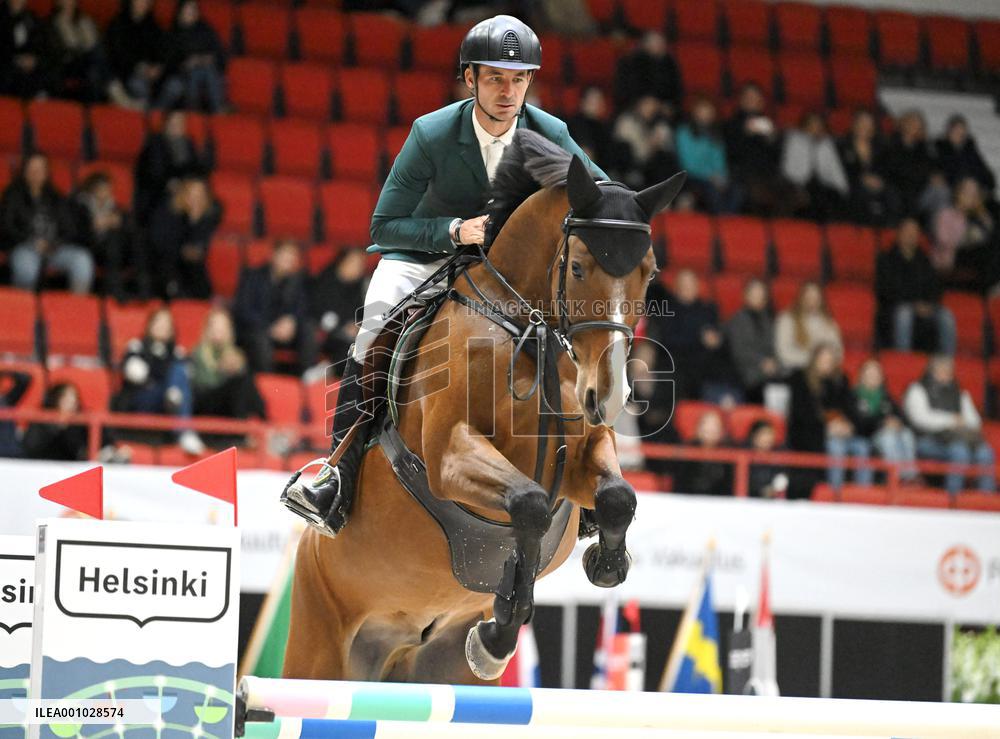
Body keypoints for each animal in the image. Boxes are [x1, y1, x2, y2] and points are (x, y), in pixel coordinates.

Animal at [282, 130, 684, 683]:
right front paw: (499, 630)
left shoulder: (581, 453)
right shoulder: (449, 454)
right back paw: (322, 495)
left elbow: (617, 497)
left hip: (429, 664)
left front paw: (605, 566)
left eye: (650, 272)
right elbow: (529, 506)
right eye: (578, 267)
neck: (527, 328)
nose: (609, 396)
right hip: (317, 645)